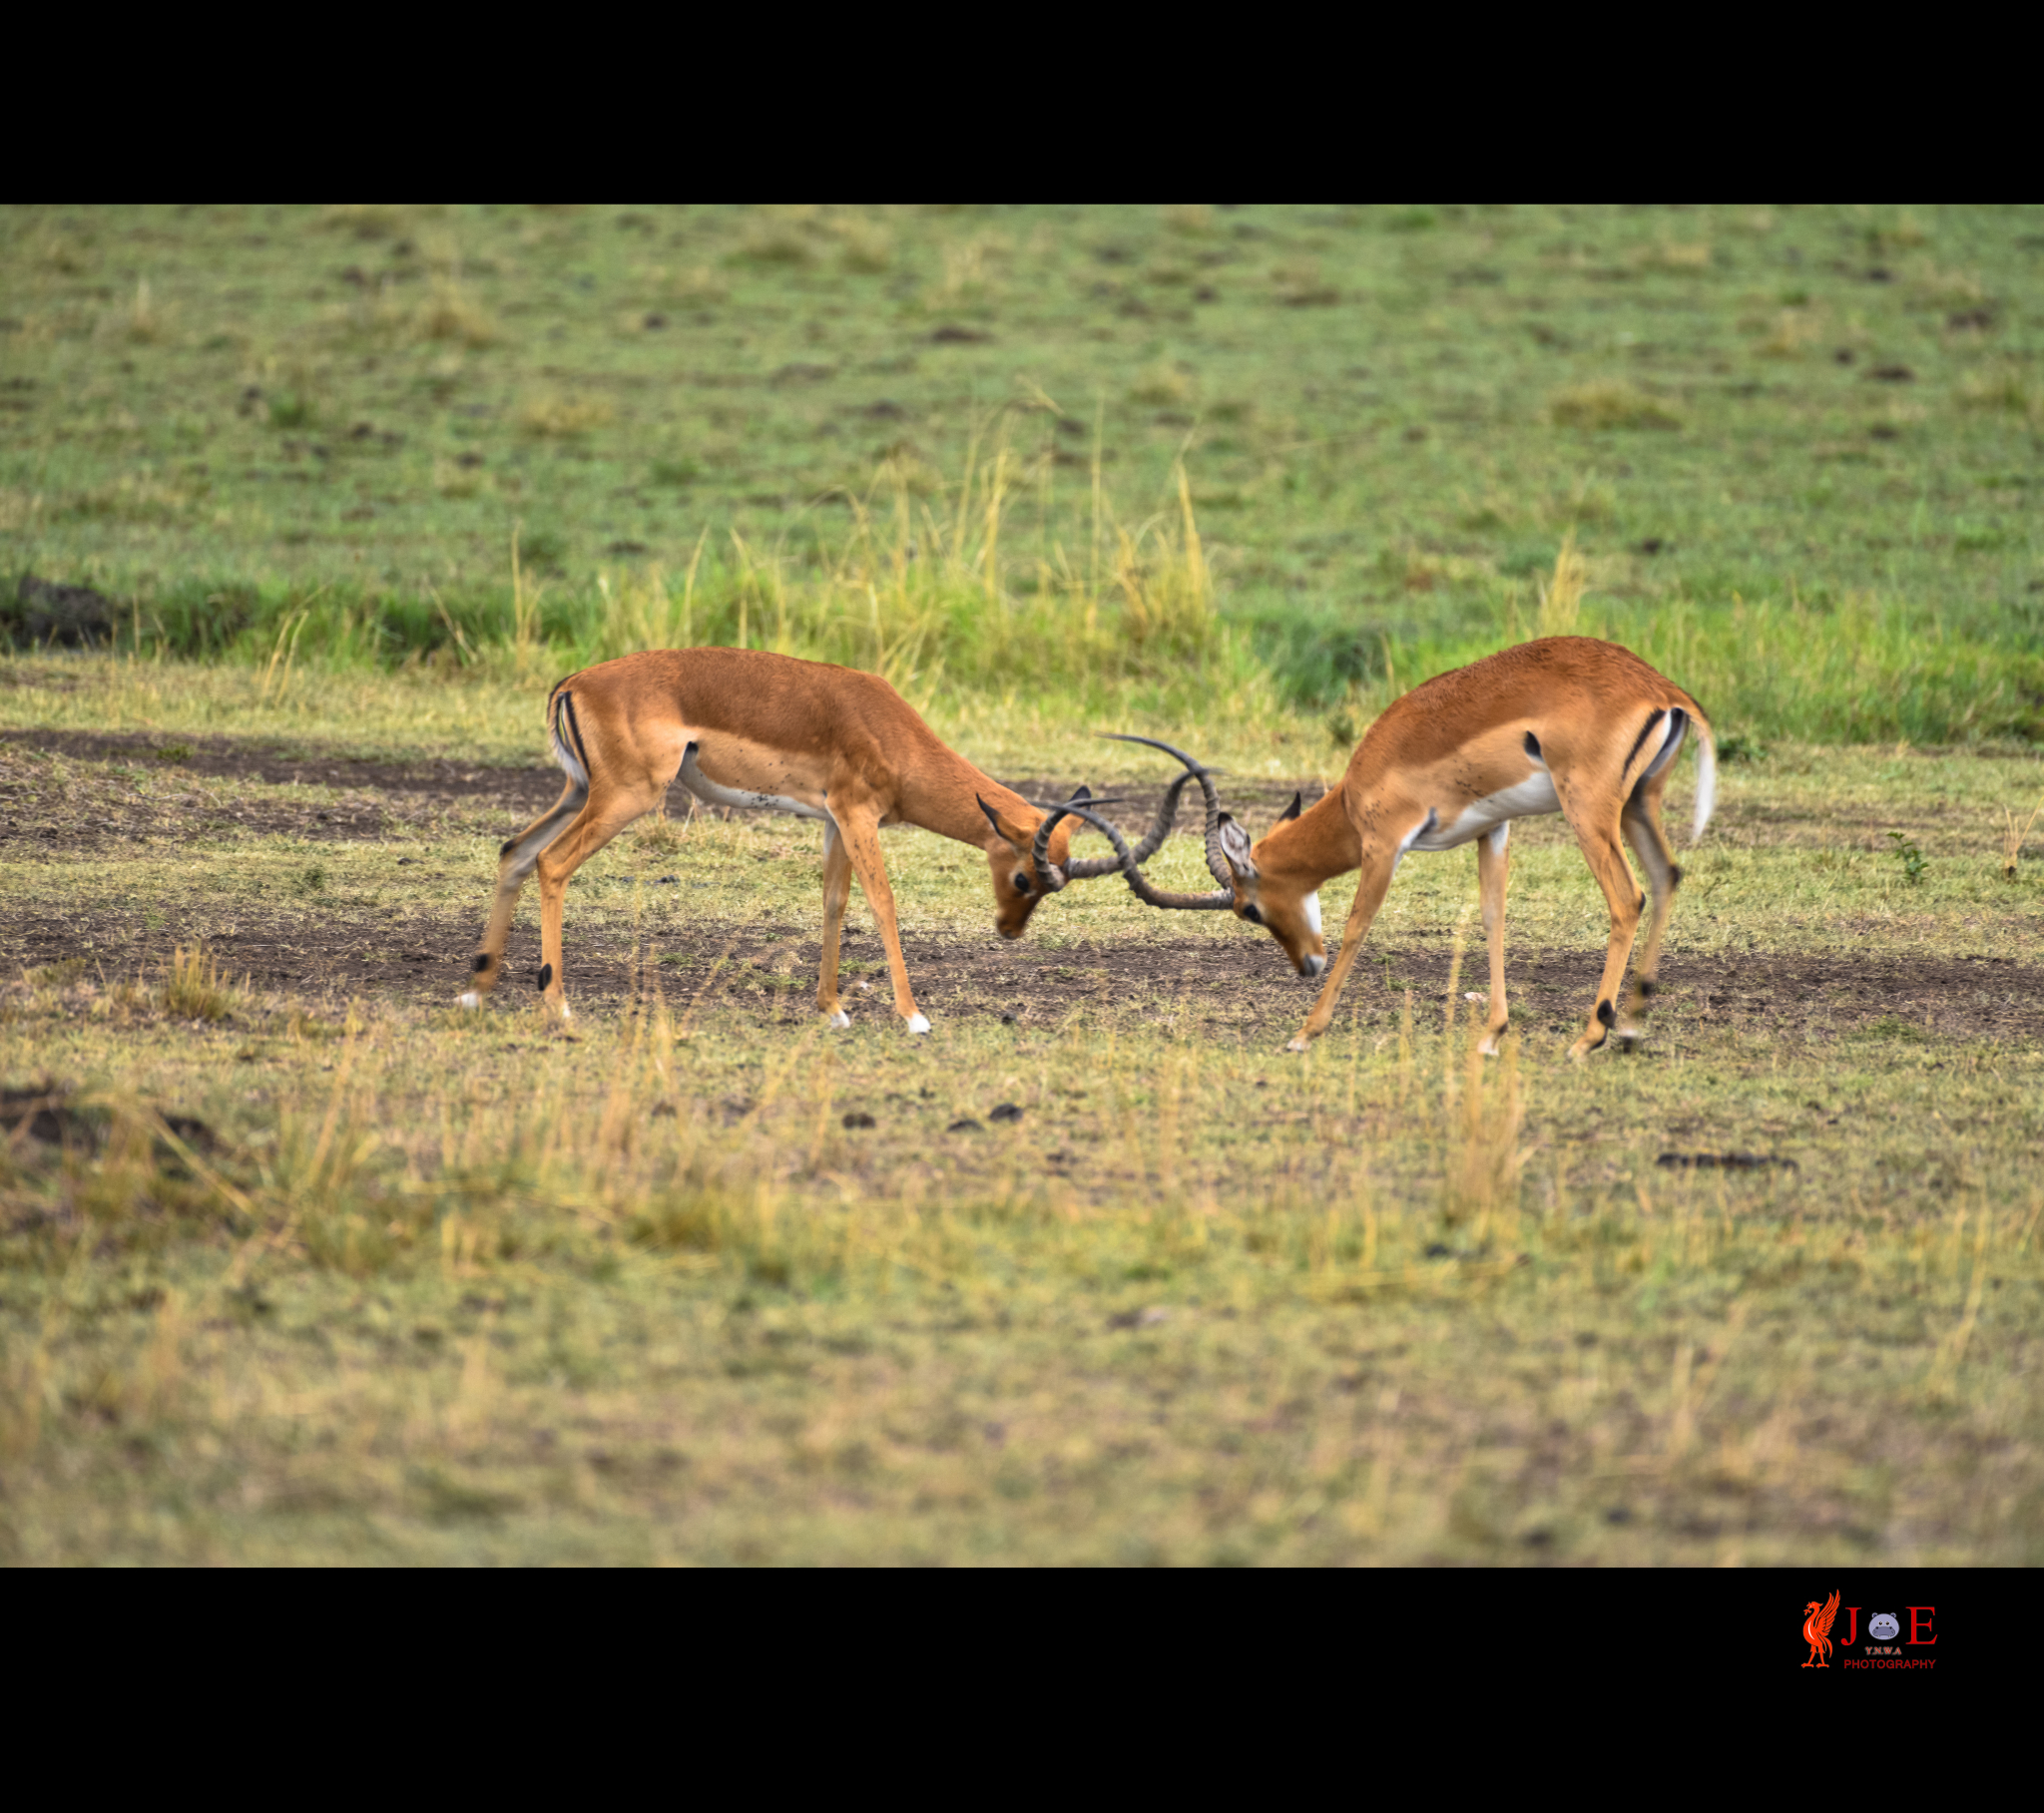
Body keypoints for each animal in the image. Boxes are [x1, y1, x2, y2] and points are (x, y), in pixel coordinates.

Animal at [451, 646, 1185, 1026]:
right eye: (1025, 875)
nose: (1008, 930)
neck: (890, 732)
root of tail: (574, 681)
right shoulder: (858, 814)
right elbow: (883, 904)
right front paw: (912, 1015)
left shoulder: (835, 820)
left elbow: (835, 904)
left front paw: (832, 1008)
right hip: (627, 796)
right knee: (551, 862)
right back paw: (557, 1005)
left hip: (580, 790)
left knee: (513, 851)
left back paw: (476, 991)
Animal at [1079, 638, 1717, 1063]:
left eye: (1249, 909)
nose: (1305, 965)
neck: (1358, 784)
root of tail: (1664, 691)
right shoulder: (1493, 830)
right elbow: (1493, 917)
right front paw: (1492, 1034)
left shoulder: (1385, 845)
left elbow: (1357, 927)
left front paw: (1304, 1033)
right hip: (1637, 804)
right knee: (1667, 876)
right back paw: (1630, 1027)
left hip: (1589, 810)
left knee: (1627, 897)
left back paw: (1590, 1036)